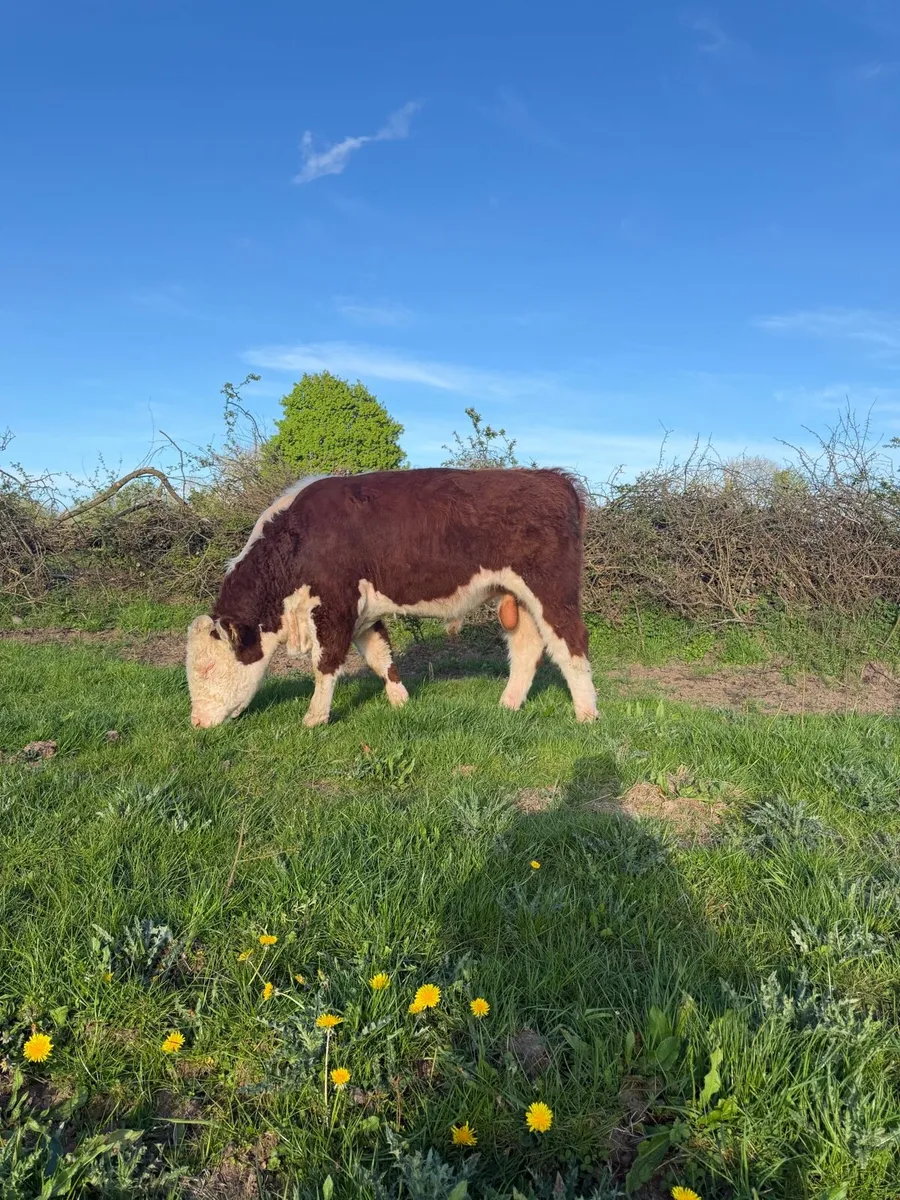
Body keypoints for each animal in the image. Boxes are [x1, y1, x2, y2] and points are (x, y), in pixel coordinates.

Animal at [186, 467, 598, 728]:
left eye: (206, 668)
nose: (197, 722)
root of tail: (550, 476)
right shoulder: (363, 612)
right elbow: (379, 655)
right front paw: (400, 701)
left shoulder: (334, 607)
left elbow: (326, 663)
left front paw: (314, 718)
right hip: (518, 597)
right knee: (528, 647)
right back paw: (508, 705)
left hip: (551, 589)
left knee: (571, 642)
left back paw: (587, 714)